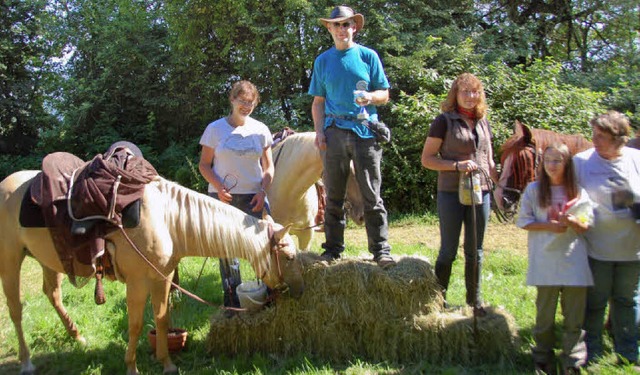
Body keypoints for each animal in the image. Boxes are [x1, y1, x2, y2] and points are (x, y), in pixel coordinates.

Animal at [0, 171, 304, 375]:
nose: (299, 292)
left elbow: (161, 318)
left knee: (52, 295)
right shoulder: (137, 283)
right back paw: (27, 362)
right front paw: (131, 367)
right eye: (288, 257)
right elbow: (135, 325)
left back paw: (78, 337)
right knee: (16, 309)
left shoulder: (163, 277)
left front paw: (167, 363)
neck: (168, 220)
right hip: (10, 260)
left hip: (49, 261)